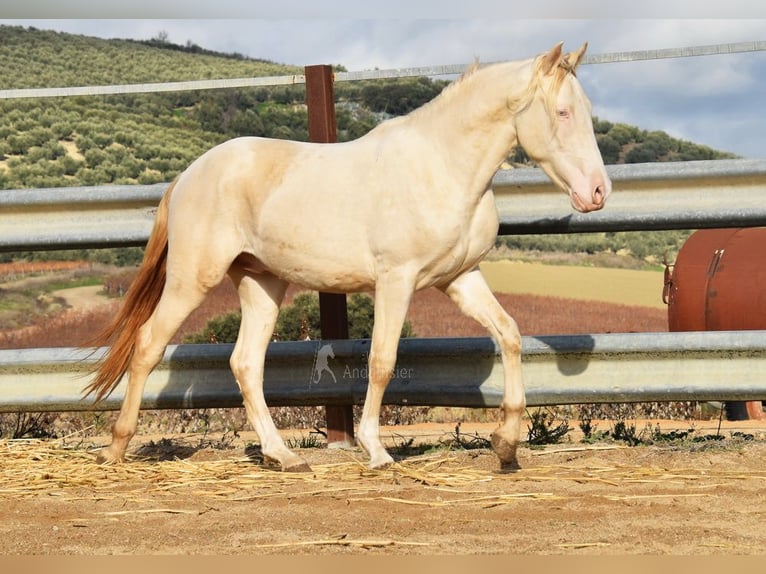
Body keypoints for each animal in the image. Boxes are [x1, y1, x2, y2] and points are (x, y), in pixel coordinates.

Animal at [84, 40, 612, 472]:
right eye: (563, 113)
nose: (597, 192)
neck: (442, 168)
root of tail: (189, 174)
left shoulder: (461, 278)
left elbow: (510, 336)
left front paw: (506, 445)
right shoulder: (396, 279)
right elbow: (381, 360)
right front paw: (375, 450)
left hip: (261, 283)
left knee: (245, 363)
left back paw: (283, 456)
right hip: (192, 278)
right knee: (149, 344)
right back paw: (117, 447)